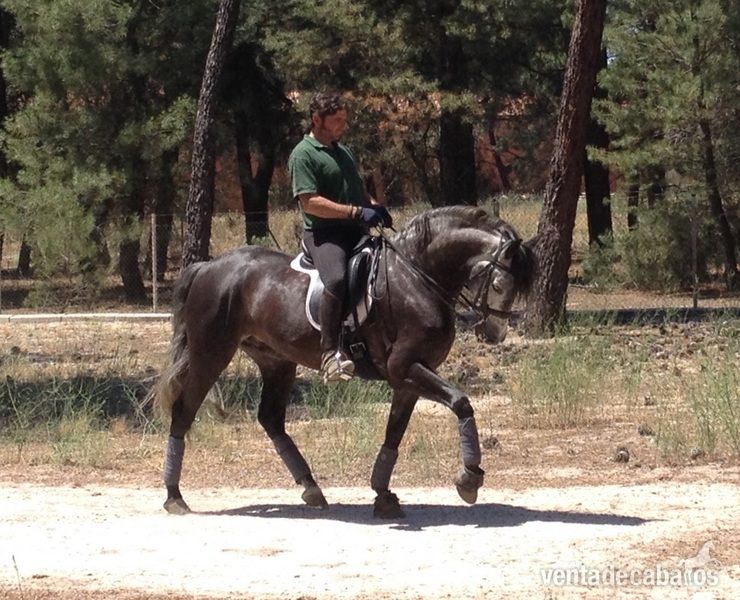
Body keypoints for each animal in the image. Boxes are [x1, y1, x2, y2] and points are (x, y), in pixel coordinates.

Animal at [149, 205, 536, 518]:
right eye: (499, 283)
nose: (495, 333)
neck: (415, 279)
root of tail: (207, 267)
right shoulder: (406, 369)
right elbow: (462, 403)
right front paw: (469, 479)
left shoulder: (408, 378)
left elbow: (394, 432)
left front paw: (383, 495)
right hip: (211, 353)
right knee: (183, 412)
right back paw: (174, 496)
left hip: (276, 361)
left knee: (271, 419)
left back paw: (311, 488)